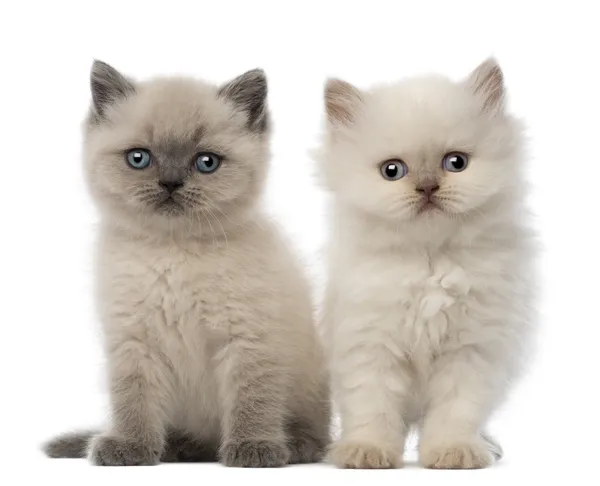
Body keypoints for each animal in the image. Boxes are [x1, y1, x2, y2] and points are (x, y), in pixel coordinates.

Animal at [43, 61, 328, 468]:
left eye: (206, 162)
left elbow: (253, 401)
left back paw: (294, 445)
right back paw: (179, 447)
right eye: (139, 158)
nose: (171, 183)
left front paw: (254, 448)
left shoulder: (248, 339)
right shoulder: (135, 341)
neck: (174, 252)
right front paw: (131, 447)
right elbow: (133, 401)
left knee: (314, 432)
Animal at [322, 58, 536, 468]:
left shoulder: (469, 352)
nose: (426, 188)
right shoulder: (371, 346)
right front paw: (366, 452)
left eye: (456, 163)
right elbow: (373, 408)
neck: (430, 262)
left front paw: (454, 452)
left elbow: (455, 412)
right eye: (392, 171)